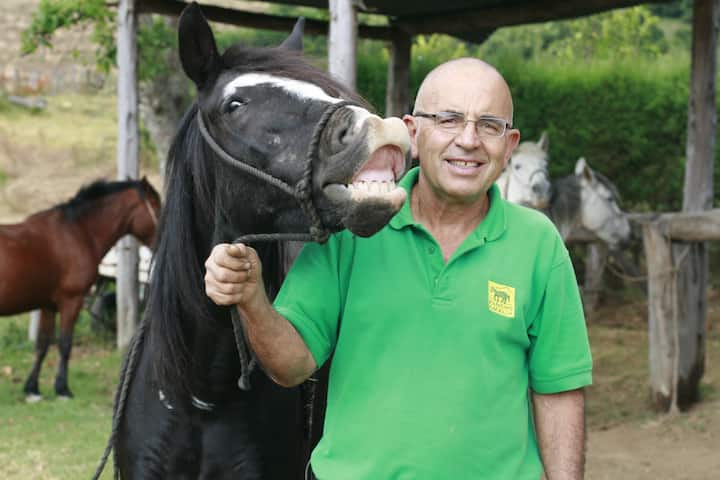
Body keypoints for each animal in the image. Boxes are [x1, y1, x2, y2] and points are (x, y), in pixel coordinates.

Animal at [0, 177, 161, 401]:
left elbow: (42, 344)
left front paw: (32, 389)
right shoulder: (71, 301)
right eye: (156, 206)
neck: (78, 232)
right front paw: (62, 389)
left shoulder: (48, 306)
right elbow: (65, 344)